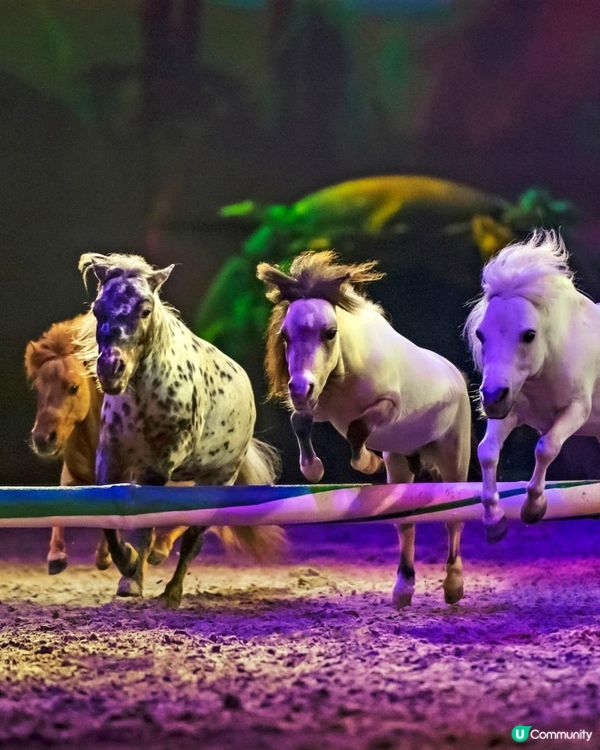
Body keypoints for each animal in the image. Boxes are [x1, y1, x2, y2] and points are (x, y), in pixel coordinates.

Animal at [24, 316, 110, 574]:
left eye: (73, 387)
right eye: (38, 388)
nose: (42, 439)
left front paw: (104, 556)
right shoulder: (71, 475)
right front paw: (56, 556)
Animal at [77, 252, 284, 609]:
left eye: (145, 309)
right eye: (97, 308)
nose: (111, 369)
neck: (145, 394)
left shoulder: (158, 467)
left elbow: (143, 526)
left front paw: (132, 573)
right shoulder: (111, 458)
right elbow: (110, 519)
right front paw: (125, 566)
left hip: (217, 481)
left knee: (192, 539)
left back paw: (171, 593)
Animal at [257, 250, 472, 607]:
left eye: (330, 332)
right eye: (285, 336)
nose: (299, 389)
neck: (345, 371)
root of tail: (455, 375)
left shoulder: (387, 408)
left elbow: (358, 429)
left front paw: (366, 463)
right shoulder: (319, 407)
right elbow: (300, 422)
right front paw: (313, 469)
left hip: (453, 458)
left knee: (454, 518)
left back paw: (454, 586)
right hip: (399, 464)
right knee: (406, 523)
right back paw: (403, 588)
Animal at [464, 229, 600, 541]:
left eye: (528, 335)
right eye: (481, 334)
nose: (491, 398)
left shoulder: (576, 411)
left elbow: (545, 448)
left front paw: (534, 507)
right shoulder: (510, 410)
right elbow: (487, 452)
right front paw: (494, 518)